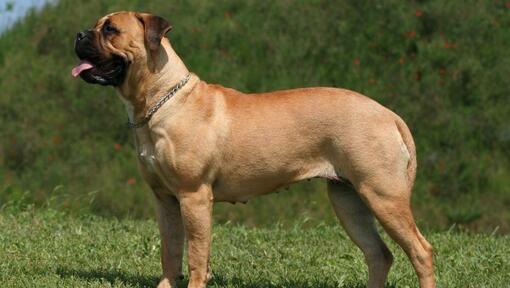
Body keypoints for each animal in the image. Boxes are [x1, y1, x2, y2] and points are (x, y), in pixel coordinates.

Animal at [73, 11, 436, 288]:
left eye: (110, 29)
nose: (78, 34)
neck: (162, 100)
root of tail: (388, 114)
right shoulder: (165, 200)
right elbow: (170, 252)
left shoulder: (193, 196)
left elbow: (196, 255)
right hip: (349, 200)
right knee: (378, 254)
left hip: (382, 195)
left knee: (420, 251)